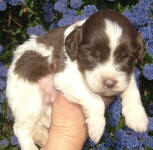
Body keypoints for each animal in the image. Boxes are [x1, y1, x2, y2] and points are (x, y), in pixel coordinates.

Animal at [6, 9, 148, 149]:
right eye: (93, 55)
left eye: (127, 57)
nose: (109, 83)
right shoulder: (65, 77)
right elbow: (96, 100)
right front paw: (97, 127)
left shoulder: (125, 76)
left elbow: (131, 88)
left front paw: (137, 117)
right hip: (30, 100)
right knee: (20, 128)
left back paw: (42, 136)